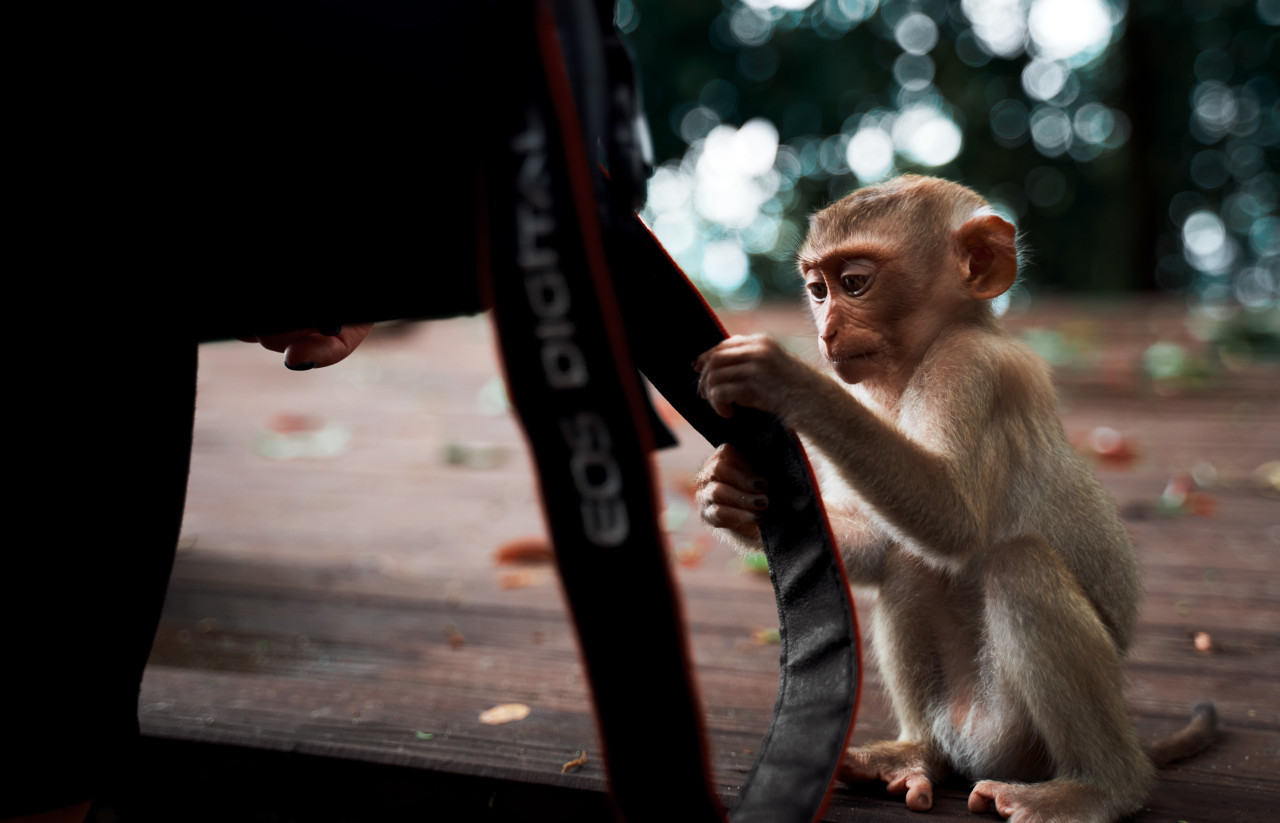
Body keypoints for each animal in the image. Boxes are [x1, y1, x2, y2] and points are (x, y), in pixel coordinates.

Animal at [696, 176, 1213, 819]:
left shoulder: (966, 369)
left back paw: (1102, 787)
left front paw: (785, 378)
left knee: (1017, 565)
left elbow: (953, 520)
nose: (825, 330)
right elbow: (881, 545)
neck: (922, 354)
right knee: (908, 567)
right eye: (817, 290)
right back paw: (919, 754)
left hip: (1017, 738)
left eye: (854, 283)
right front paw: (727, 493)